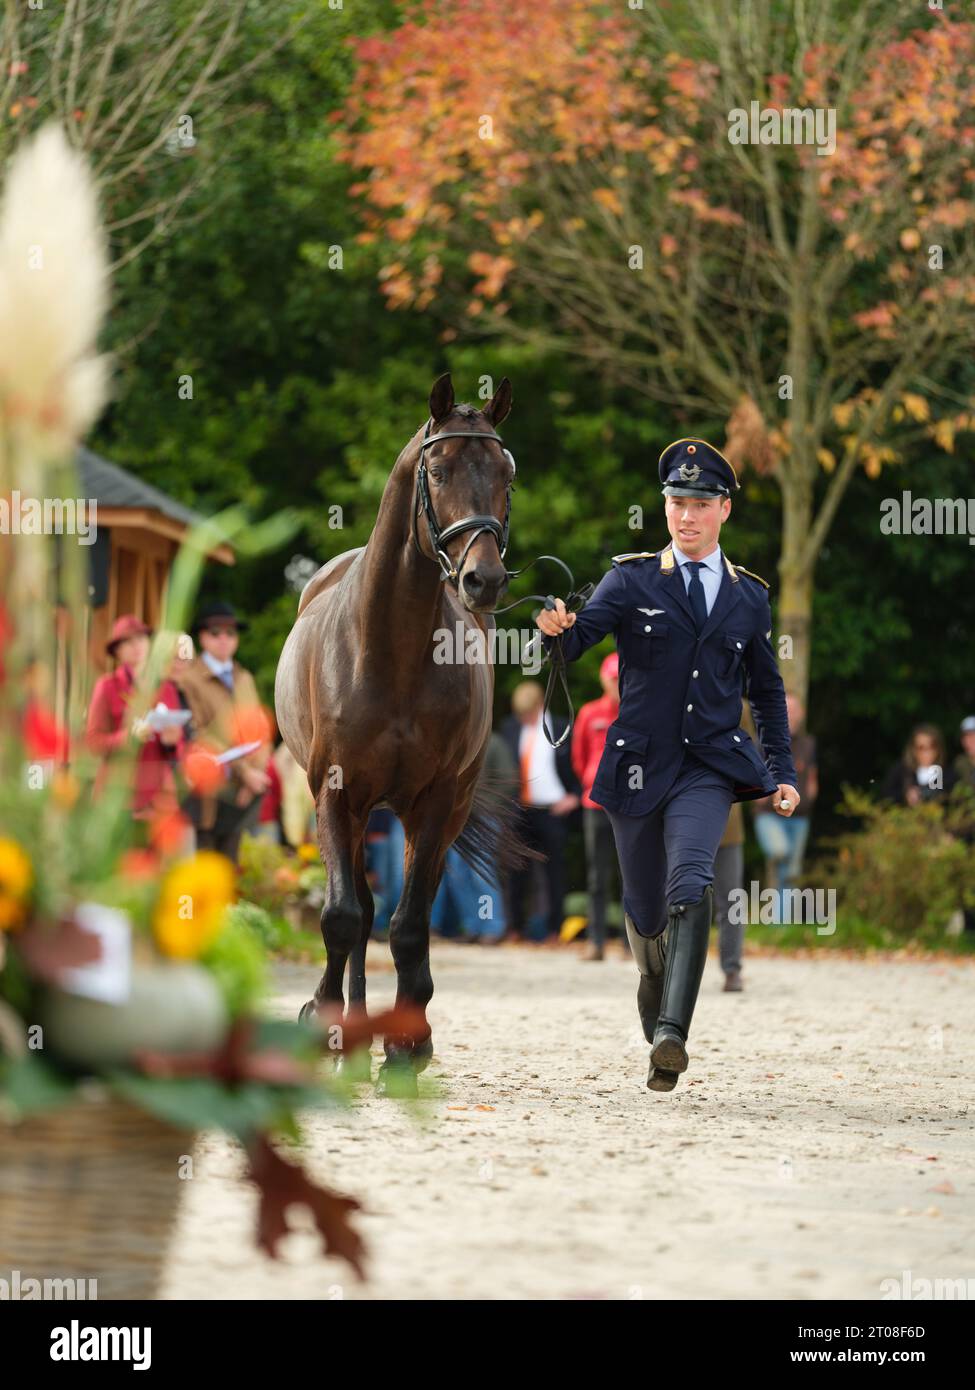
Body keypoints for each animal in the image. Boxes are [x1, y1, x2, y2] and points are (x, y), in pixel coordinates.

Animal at [274, 372, 531, 1095]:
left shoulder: (436, 804)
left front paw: (408, 1047)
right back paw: (350, 1029)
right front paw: (328, 1024)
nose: (483, 579)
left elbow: (410, 925)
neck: (392, 650)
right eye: (437, 470)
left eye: (505, 472)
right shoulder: (335, 797)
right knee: (357, 910)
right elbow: (341, 917)